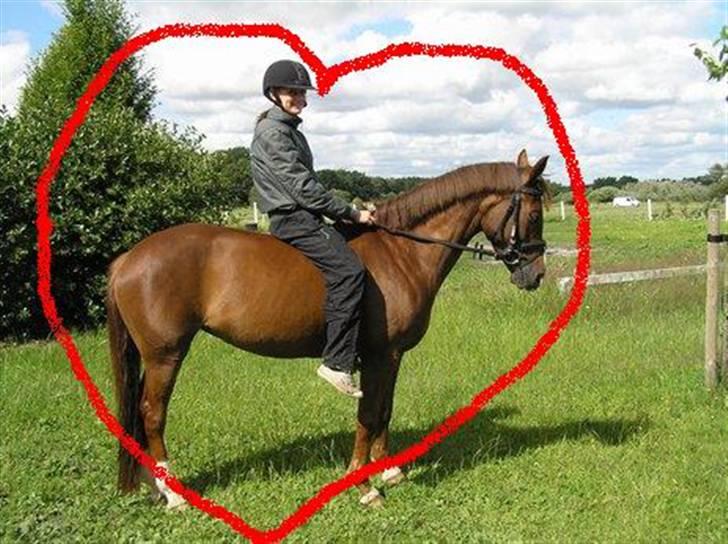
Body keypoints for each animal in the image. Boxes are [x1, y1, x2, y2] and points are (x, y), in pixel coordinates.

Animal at [107, 149, 549, 509]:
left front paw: (389, 471)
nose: (537, 276)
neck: (400, 252)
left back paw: (155, 487)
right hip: (166, 355)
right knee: (152, 413)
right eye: (534, 214)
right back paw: (173, 494)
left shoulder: (392, 356)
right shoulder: (377, 355)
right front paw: (364, 486)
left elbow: (385, 410)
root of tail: (129, 258)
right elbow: (368, 414)